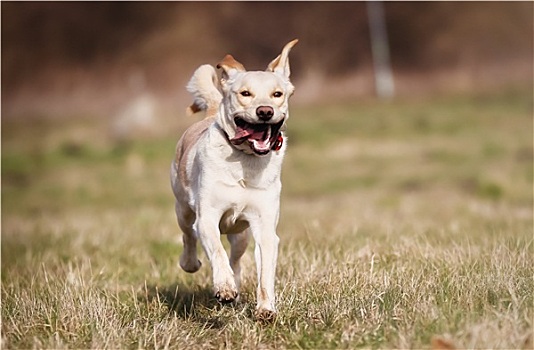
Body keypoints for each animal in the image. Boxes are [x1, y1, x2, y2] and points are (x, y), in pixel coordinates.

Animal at [171, 39, 298, 320]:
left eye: (277, 94)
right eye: (245, 93)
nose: (265, 112)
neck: (245, 161)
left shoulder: (264, 226)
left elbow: (265, 273)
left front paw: (265, 309)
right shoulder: (207, 217)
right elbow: (216, 251)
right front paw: (225, 288)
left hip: (241, 235)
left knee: (236, 259)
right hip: (183, 207)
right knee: (188, 235)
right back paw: (191, 263)